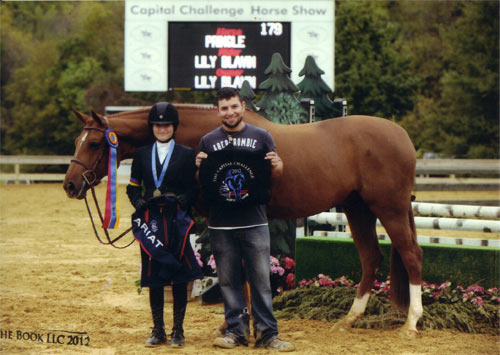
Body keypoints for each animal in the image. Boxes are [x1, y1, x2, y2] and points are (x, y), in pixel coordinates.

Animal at [62, 105, 422, 340]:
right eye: (77, 142)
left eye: (94, 143)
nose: (70, 185)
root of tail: (402, 135)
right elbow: (242, 274)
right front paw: (238, 326)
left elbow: (239, 273)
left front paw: (241, 327)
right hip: (357, 208)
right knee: (371, 257)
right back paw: (349, 320)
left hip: (388, 207)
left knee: (410, 255)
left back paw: (411, 323)